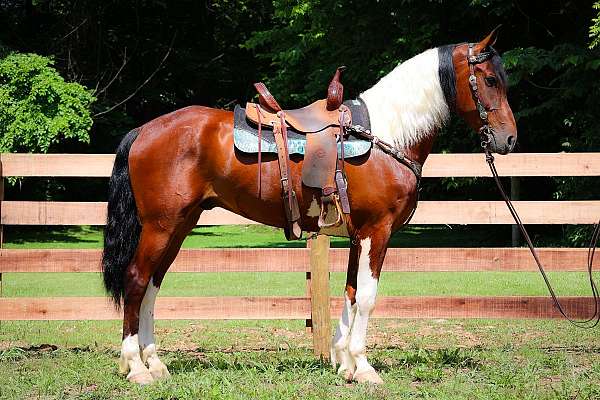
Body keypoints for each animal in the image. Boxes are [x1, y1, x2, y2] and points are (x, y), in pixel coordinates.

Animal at [102, 28, 516, 384]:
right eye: (490, 81)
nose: (509, 139)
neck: (387, 134)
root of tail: (144, 130)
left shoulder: (358, 235)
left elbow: (351, 293)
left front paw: (345, 364)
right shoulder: (377, 231)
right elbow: (367, 297)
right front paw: (364, 367)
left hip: (179, 225)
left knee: (153, 283)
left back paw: (156, 363)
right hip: (160, 226)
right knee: (136, 280)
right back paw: (136, 367)